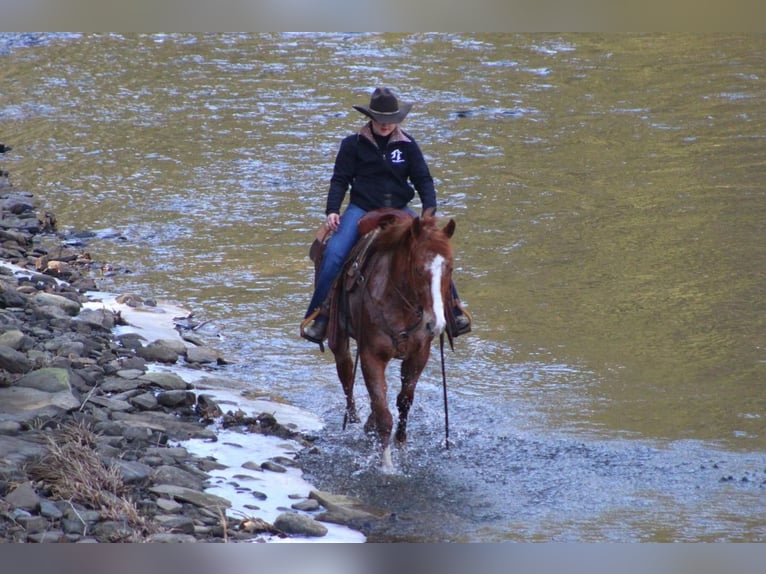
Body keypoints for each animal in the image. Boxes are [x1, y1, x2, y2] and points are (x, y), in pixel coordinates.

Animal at [308, 212, 460, 472]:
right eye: (418, 269)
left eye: (449, 268)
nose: (436, 323)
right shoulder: (372, 355)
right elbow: (383, 411)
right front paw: (387, 464)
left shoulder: (418, 354)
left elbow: (404, 401)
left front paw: (401, 445)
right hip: (338, 336)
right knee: (346, 372)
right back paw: (354, 418)